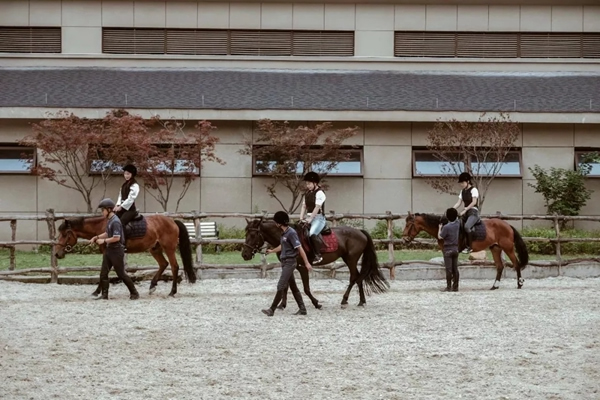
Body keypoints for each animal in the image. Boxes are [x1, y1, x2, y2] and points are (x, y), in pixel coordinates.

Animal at [54, 216, 195, 296]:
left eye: (65, 234)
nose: (57, 253)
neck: (102, 226)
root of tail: (172, 221)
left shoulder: (107, 252)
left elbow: (104, 271)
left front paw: (96, 292)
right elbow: (104, 271)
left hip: (169, 248)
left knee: (174, 266)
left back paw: (172, 292)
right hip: (155, 249)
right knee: (163, 264)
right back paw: (152, 286)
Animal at [240, 220, 390, 308]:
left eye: (252, 235)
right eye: (245, 233)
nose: (244, 255)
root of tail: (360, 232)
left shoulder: (302, 267)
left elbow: (305, 288)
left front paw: (316, 302)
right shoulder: (288, 265)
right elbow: (286, 285)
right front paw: (282, 305)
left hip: (351, 259)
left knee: (354, 277)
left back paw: (345, 300)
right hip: (348, 259)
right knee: (358, 277)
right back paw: (360, 301)